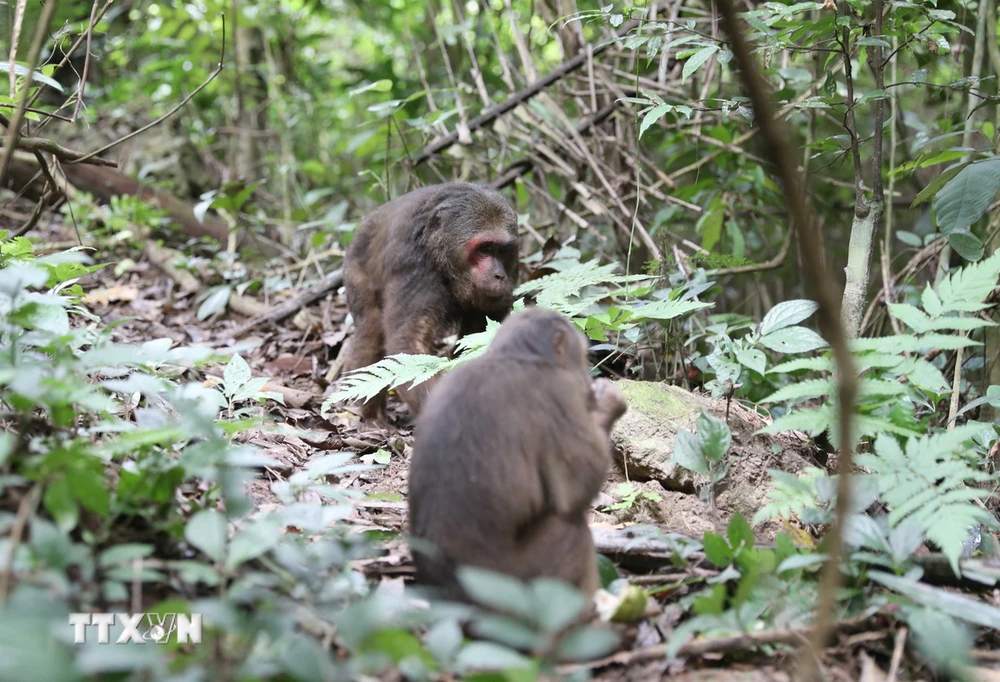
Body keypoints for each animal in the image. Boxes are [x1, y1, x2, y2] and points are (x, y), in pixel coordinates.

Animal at [342, 181, 520, 420]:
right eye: (485, 249)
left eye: (503, 251)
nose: (499, 275)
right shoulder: (415, 265)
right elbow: (408, 344)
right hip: (355, 269)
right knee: (370, 327)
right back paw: (370, 415)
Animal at [404, 308, 624, 600]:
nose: (588, 380)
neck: (517, 356)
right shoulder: (559, 393)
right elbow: (574, 492)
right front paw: (609, 399)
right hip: (519, 581)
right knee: (572, 530)